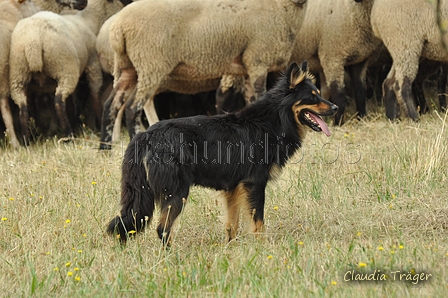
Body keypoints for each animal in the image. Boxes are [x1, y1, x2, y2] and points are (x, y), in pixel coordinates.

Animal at [8, 0, 127, 144]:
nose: (84, 2)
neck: (90, 20)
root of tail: (33, 43)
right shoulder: (93, 64)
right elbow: (95, 93)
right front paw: (98, 124)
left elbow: (70, 102)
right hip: (65, 68)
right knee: (59, 101)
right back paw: (68, 135)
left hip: (18, 74)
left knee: (23, 107)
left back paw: (27, 141)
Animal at [98, 0, 310, 149]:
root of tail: (118, 27)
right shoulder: (258, 59)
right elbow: (259, 98)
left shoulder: (246, 65)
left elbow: (251, 102)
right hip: (151, 63)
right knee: (132, 108)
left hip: (128, 67)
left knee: (111, 105)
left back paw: (105, 149)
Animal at [107, 61, 336, 244]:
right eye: (312, 97)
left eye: (318, 94)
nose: (335, 107)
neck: (274, 120)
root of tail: (146, 136)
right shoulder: (254, 184)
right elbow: (258, 223)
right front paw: (262, 249)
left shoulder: (233, 189)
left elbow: (231, 225)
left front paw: (229, 248)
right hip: (177, 193)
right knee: (163, 229)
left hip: (139, 196)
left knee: (126, 225)